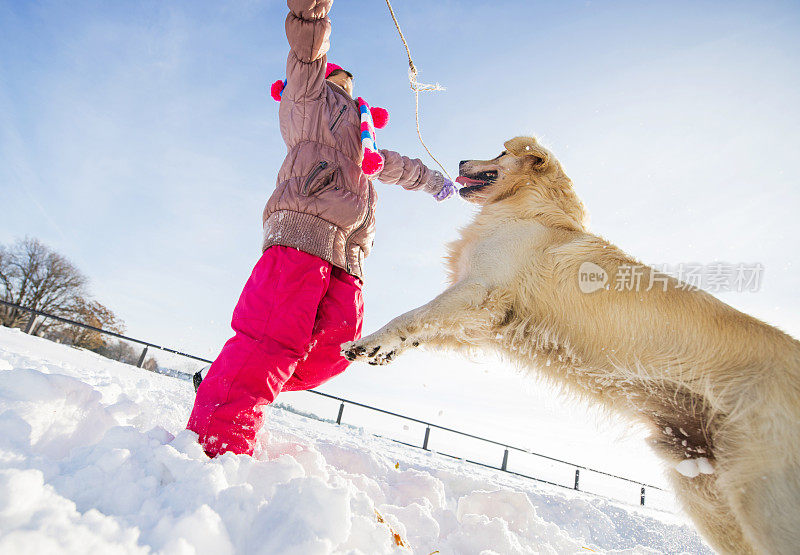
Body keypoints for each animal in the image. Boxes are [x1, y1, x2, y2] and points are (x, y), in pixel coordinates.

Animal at [340, 138, 800, 555]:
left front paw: (366, 343)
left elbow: (411, 315)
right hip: (703, 492)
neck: (531, 210)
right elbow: (423, 327)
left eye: (501, 153)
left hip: (760, 495)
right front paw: (387, 350)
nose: (459, 160)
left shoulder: (479, 293)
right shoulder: (484, 319)